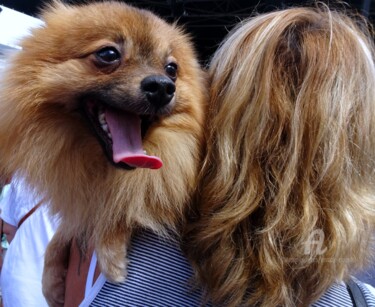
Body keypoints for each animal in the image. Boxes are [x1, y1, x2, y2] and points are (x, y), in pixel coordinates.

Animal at [0, 1, 207, 306]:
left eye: (172, 69)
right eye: (108, 54)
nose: (162, 86)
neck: (102, 168)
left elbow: (127, 206)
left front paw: (110, 249)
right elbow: (67, 231)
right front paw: (51, 280)